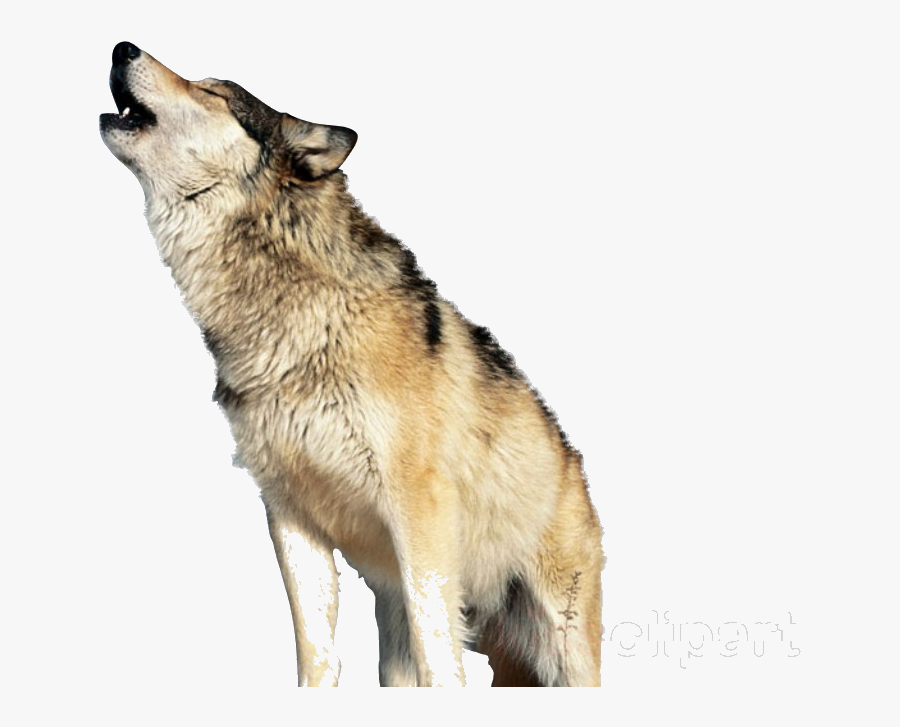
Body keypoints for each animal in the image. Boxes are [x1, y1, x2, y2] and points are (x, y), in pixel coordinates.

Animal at [100, 42, 604, 687]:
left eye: (211, 91)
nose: (122, 47)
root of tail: (574, 464)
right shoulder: (291, 515)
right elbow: (315, 650)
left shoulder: (418, 510)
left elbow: (440, 649)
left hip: (563, 643)